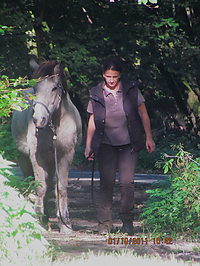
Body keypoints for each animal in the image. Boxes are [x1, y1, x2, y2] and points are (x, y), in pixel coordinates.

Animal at [11, 60, 82, 233]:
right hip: (25, 159)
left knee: (50, 186)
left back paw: (47, 219)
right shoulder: (37, 157)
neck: (54, 126)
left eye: (54, 88)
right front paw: (37, 219)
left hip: (51, 163)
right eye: (36, 88)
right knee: (30, 182)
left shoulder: (65, 156)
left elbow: (60, 188)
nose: (38, 119)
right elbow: (40, 187)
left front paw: (65, 223)